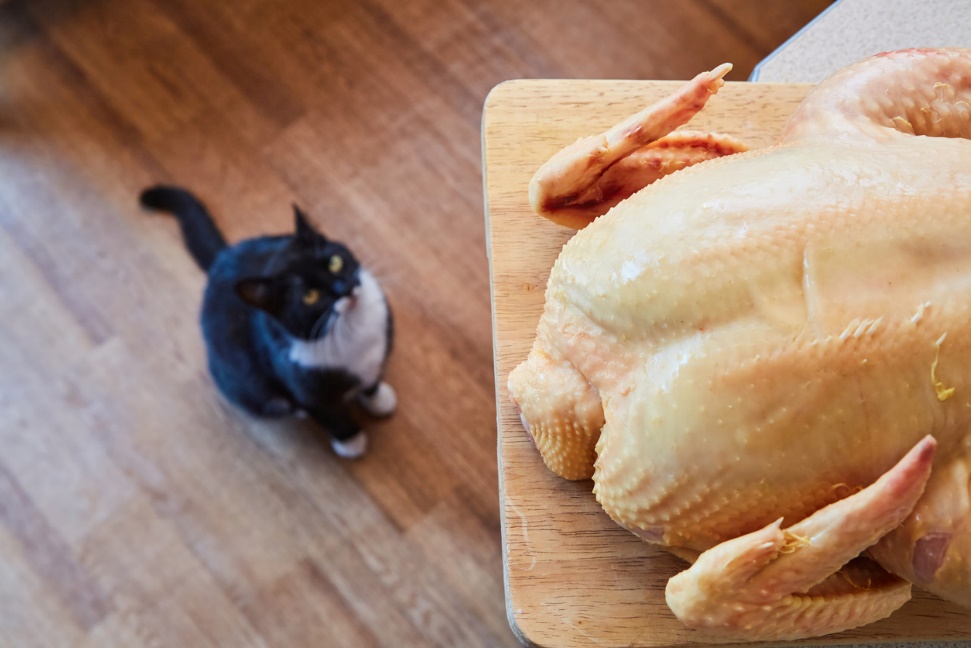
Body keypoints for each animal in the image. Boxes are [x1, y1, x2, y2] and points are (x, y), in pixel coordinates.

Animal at [140, 185, 394, 458]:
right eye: (310, 296)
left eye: (334, 262)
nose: (344, 289)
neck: (349, 329)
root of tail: (222, 257)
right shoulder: (302, 384)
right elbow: (328, 412)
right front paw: (350, 441)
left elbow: (372, 377)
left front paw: (377, 399)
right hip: (241, 381)